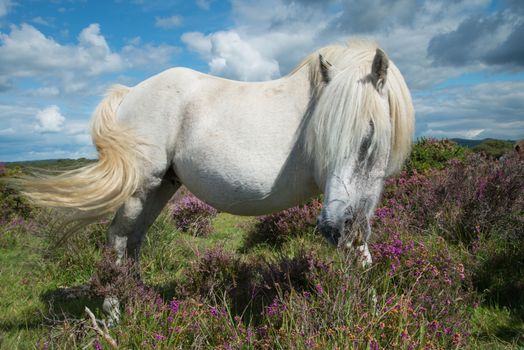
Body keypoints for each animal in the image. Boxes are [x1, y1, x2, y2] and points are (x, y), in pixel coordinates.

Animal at [19, 39, 414, 322]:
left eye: (369, 135)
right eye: (323, 138)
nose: (331, 229)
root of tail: (131, 92)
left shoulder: (353, 208)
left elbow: (360, 256)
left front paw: (369, 309)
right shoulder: (349, 209)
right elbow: (359, 255)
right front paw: (366, 311)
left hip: (161, 188)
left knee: (134, 239)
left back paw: (140, 302)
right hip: (140, 188)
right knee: (117, 240)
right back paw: (115, 313)